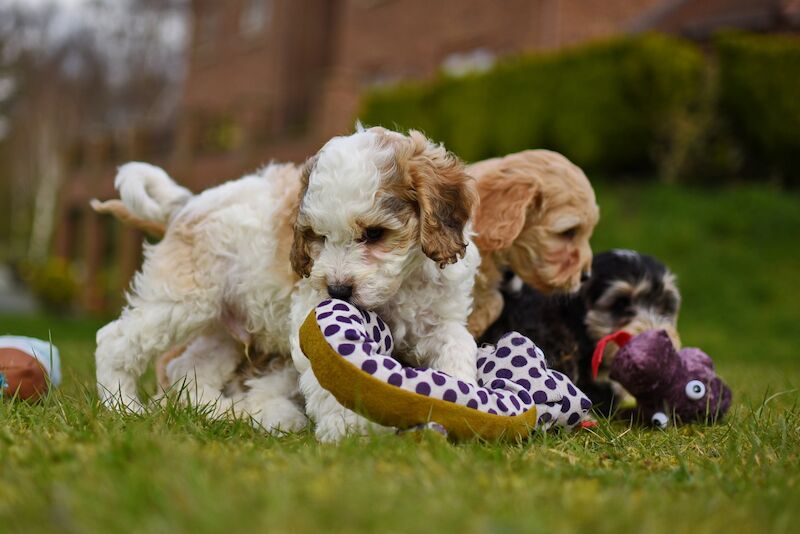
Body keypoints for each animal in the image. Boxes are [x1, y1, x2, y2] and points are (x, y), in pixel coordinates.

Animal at [94, 126, 482, 444]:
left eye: (374, 234)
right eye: (318, 237)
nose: (337, 291)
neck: (403, 284)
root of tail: (187, 206)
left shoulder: (442, 322)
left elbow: (457, 351)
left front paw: (458, 406)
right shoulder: (308, 312)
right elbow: (329, 376)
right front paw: (347, 430)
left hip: (223, 329)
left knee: (188, 367)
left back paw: (219, 412)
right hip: (182, 301)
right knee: (113, 341)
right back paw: (123, 406)